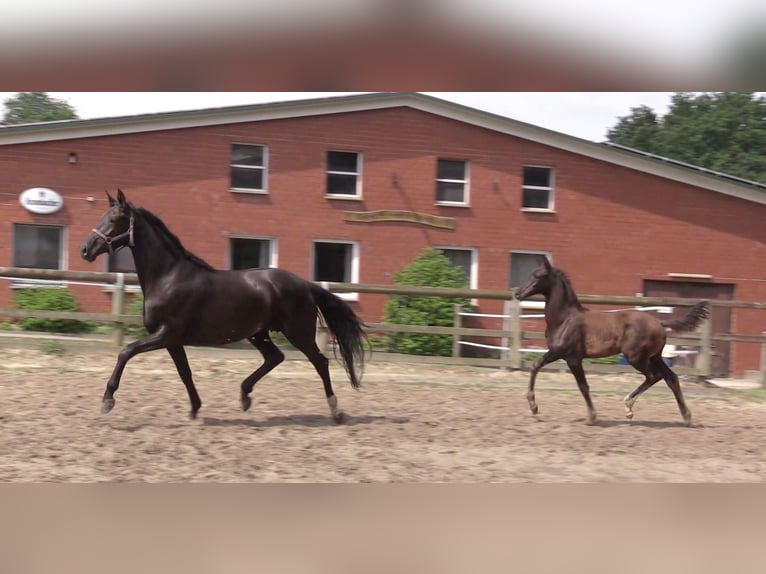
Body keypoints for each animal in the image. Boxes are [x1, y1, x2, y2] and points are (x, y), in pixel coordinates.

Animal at [79, 190, 368, 424]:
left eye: (114, 219)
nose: (85, 250)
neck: (168, 277)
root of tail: (305, 285)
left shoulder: (166, 334)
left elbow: (125, 352)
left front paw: (107, 401)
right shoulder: (173, 341)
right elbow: (185, 374)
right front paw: (194, 411)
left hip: (298, 332)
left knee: (320, 362)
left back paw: (336, 412)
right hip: (259, 333)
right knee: (275, 357)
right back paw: (245, 396)